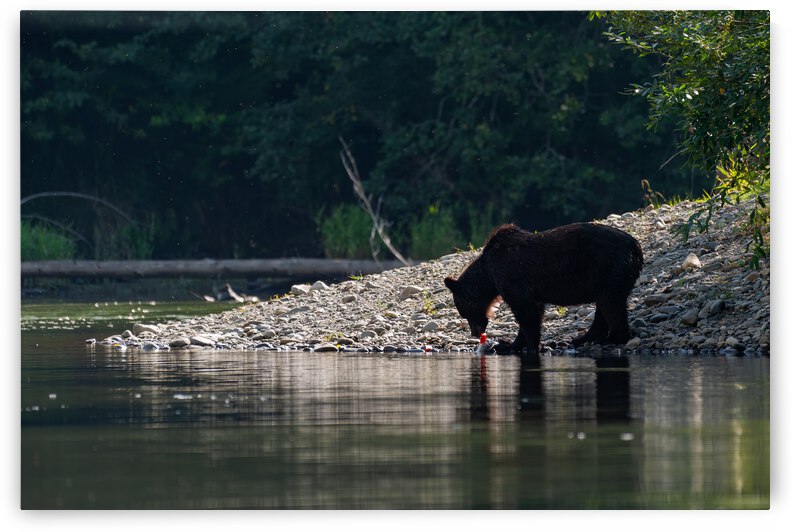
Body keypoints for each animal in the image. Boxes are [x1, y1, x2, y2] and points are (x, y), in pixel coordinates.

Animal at [444, 222, 643, 354]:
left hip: (608, 268)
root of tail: (635, 246)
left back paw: (611, 338)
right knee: (604, 306)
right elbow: (531, 312)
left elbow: (526, 312)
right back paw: (584, 338)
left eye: (464, 312)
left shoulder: (512, 277)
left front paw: (527, 345)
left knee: (611, 304)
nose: (475, 333)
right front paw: (511, 344)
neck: (488, 276)